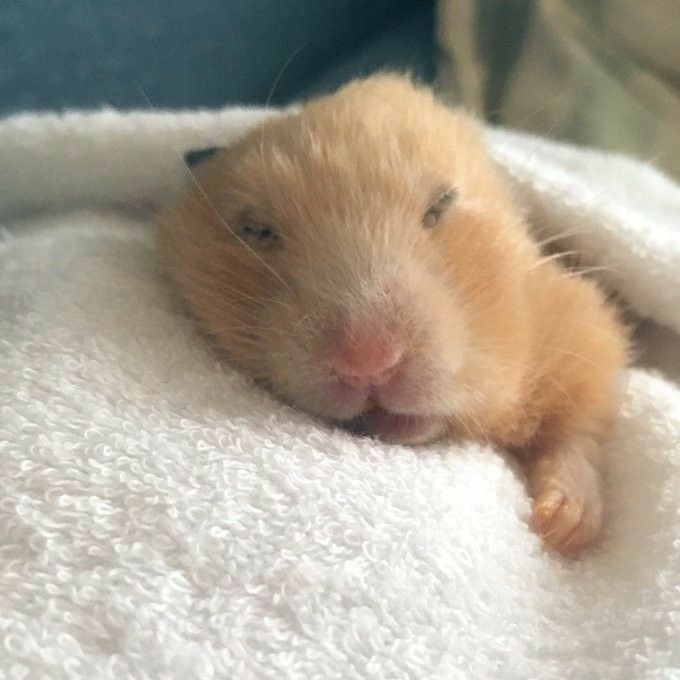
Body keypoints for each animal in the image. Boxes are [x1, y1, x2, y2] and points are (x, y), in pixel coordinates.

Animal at [156, 74, 629, 556]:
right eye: (256, 230)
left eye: (440, 206)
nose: (368, 362)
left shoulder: (578, 324)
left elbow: (579, 429)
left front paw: (560, 527)